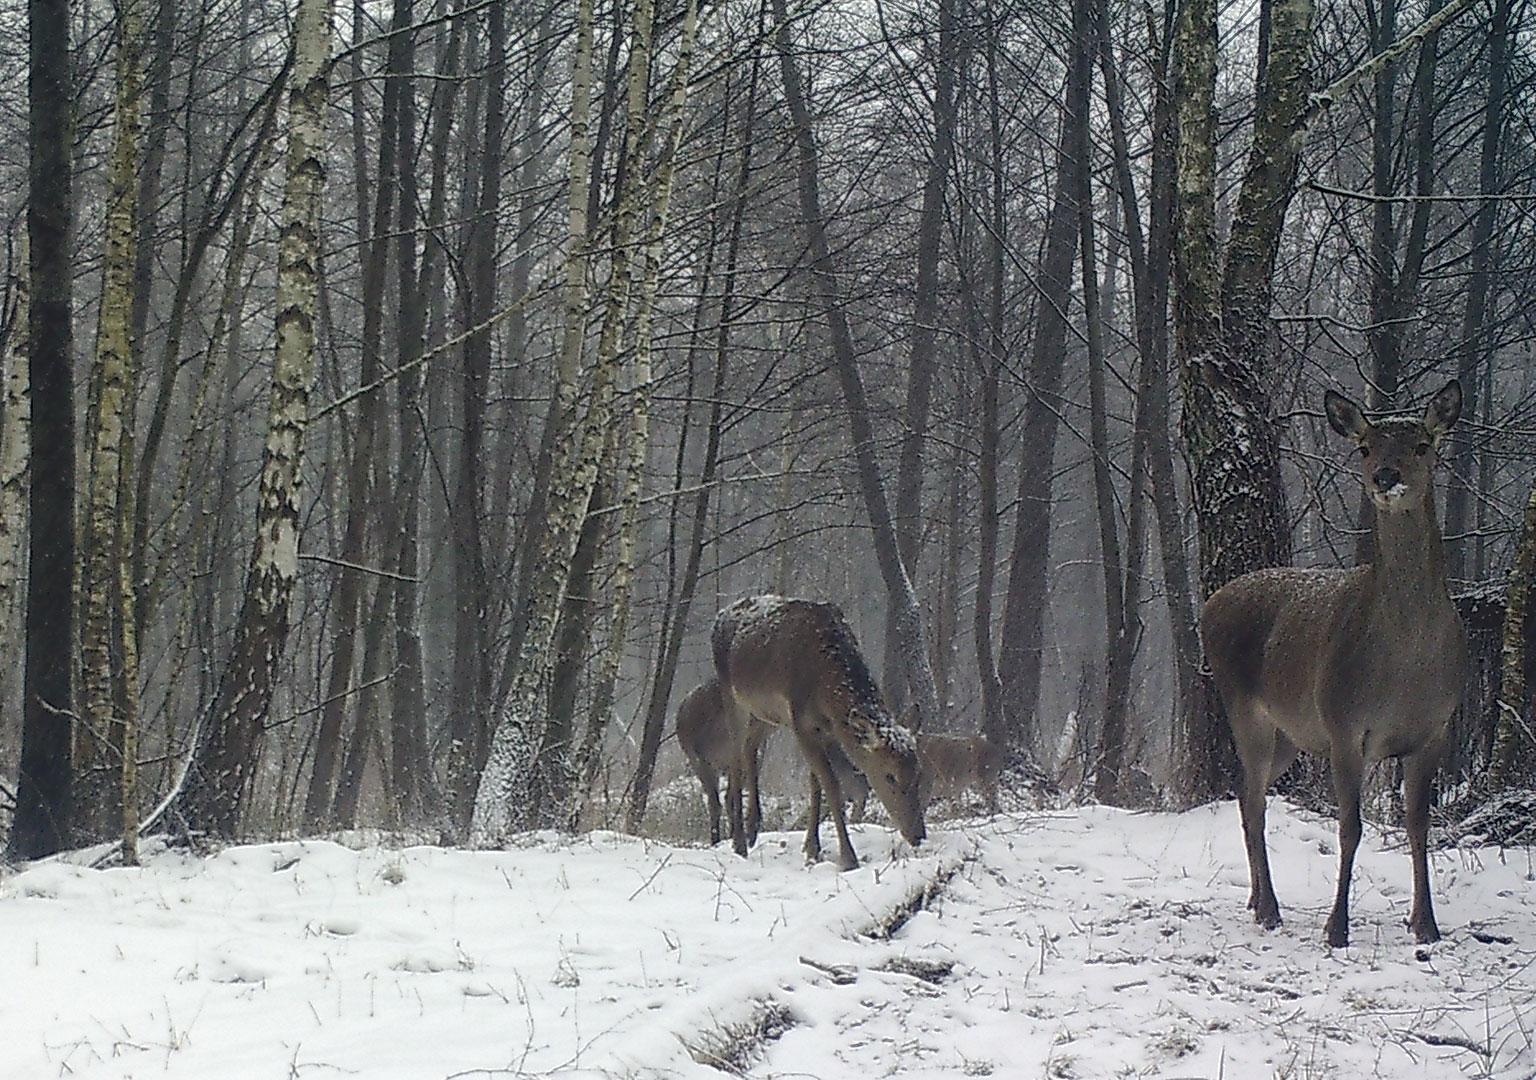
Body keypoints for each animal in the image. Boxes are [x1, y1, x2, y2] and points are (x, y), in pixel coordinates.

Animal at [709, 589, 921, 872]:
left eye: (918, 771)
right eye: (890, 776)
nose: (919, 834)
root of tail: (719, 616)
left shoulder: (823, 729)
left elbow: (815, 784)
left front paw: (812, 849)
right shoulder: (802, 724)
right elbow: (832, 785)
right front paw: (848, 858)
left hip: (767, 714)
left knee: (750, 747)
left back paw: (752, 828)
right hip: (732, 694)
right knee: (735, 756)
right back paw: (739, 842)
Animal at [1198, 382, 1462, 946]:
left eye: (1423, 444)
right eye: (1364, 447)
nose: (1386, 476)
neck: (1407, 663)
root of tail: (1208, 605)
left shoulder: (1435, 729)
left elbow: (1418, 825)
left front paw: (1425, 925)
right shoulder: (1345, 723)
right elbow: (1350, 827)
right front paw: (1336, 927)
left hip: (1289, 735)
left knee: (1246, 795)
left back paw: (1256, 899)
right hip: (1244, 708)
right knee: (1254, 802)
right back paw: (1269, 909)